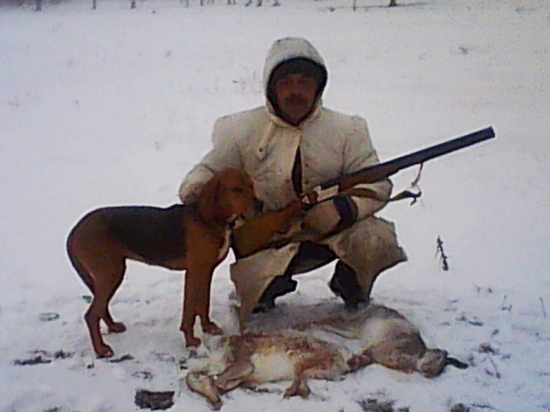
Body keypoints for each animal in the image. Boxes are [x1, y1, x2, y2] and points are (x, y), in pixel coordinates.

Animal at [66, 168, 266, 358]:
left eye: (251, 185)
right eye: (236, 190)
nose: (261, 205)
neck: (210, 219)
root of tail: (75, 230)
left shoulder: (206, 271)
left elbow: (204, 303)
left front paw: (208, 327)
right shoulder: (194, 272)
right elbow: (189, 312)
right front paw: (191, 342)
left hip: (109, 276)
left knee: (100, 309)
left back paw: (113, 327)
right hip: (112, 274)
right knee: (91, 315)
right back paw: (101, 350)